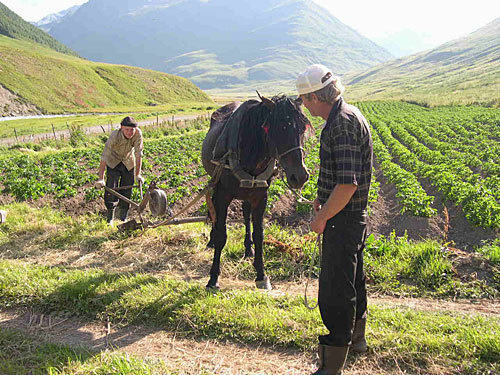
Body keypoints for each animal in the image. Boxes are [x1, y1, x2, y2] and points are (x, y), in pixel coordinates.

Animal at [202, 94, 310, 290]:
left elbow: (259, 234)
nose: (300, 176)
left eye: (302, 128)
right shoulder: (223, 195)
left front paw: (261, 274)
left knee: (246, 214)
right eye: (280, 128)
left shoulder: (260, 197)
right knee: (213, 209)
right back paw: (211, 240)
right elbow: (222, 234)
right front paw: (213, 278)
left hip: (248, 193)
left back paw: (248, 248)